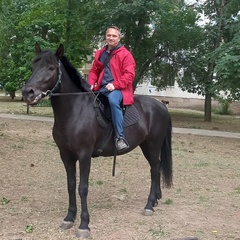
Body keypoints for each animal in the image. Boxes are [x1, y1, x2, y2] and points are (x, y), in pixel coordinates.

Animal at [22, 43, 172, 238]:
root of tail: (161, 106)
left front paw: (84, 225)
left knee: (154, 169)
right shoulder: (66, 155)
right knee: (157, 167)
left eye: (51, 68)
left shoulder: (84, 155)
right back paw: (155, 200)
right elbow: (71, 185)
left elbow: (83, 188)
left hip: (153, 145)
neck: (74, 111)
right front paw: (69, 218)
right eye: (33, 66)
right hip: (146, 146)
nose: (27, 93)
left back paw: (149, 205)